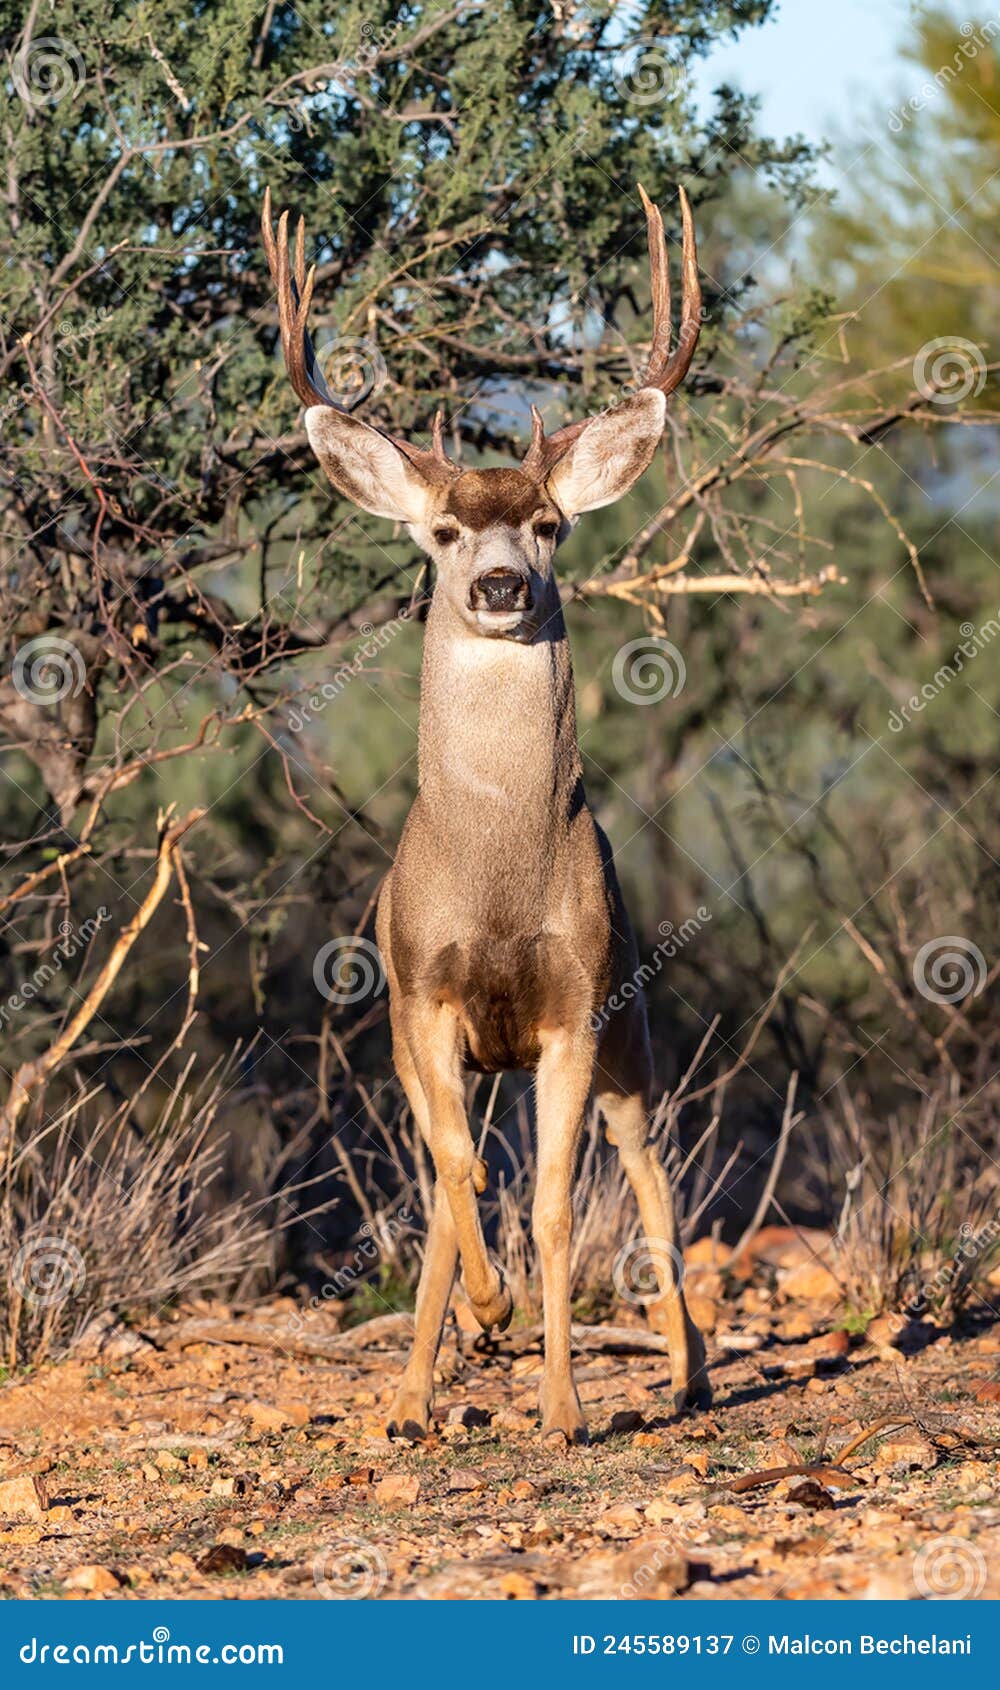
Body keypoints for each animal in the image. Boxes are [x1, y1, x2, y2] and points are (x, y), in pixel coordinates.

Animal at [261, 178, 706, 1439]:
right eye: (446, 530)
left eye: (550, 524)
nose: (501, 583)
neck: (500, 882)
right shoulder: (421, 1001)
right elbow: (456, 1179)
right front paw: (482, 1319)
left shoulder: (572, 1012)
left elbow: (553, 1204)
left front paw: (560, 1402)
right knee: (442, 1178)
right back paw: (415, 1395)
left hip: (631, 1029)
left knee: (648, 1174)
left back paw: (688, 1374)